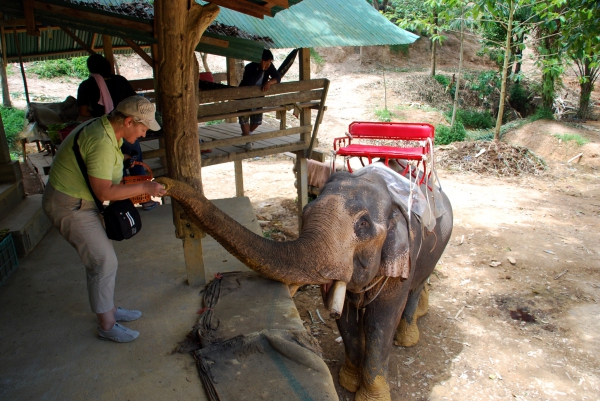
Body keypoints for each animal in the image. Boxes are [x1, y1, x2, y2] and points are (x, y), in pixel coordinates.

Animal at [157, 162, 452, 400]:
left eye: (364, 225)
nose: (160, 183)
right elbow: (344, 317)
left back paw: (408, 337)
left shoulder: (403, 258)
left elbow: (381, 320)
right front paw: (347, 381)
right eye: (306, 210)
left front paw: (370, 397)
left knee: (416, 286)